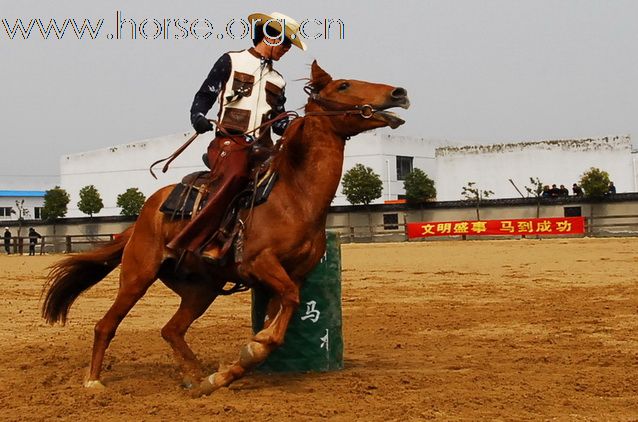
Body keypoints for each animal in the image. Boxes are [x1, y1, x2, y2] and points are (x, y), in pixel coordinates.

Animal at [42, 61, 410, 396]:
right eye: (344, 85)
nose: (399, 93)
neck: (296, 195)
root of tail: (143, 218)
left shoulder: (292, 275)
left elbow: (278, 326)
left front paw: (224, 374)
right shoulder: (260, 264)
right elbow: (281, 314)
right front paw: (248, 351)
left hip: (201, 288)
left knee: (171, 330)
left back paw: (194, 378)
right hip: (137, 276)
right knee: (106, 325)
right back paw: (94, 381)